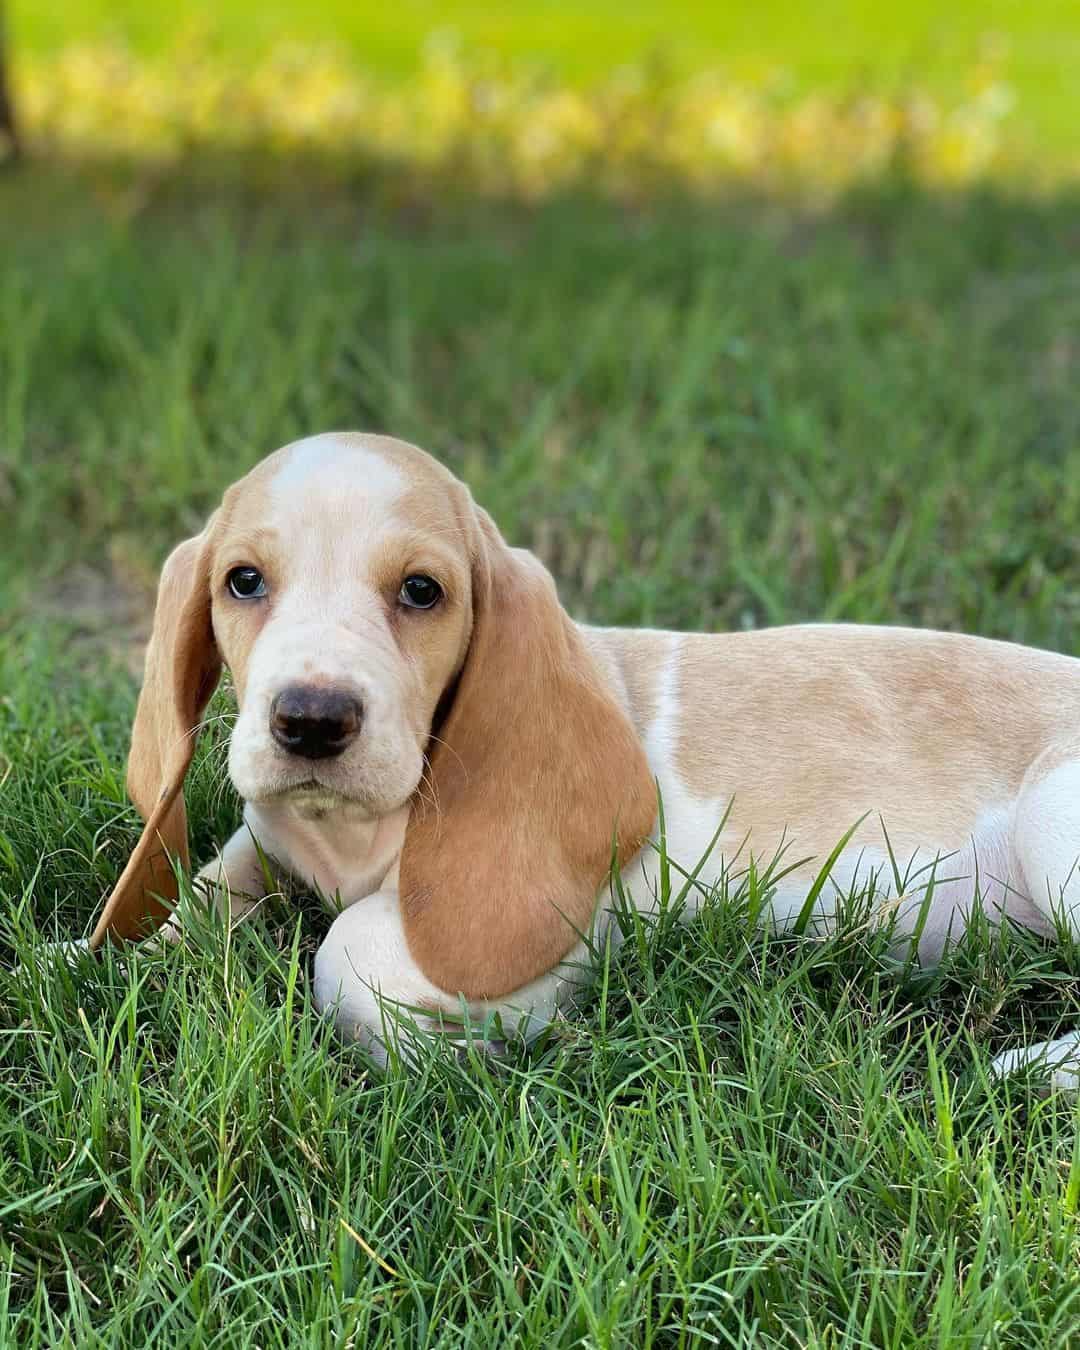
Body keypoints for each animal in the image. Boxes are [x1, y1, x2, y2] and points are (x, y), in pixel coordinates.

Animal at [88, 437, 1080, 1080]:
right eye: (242, 582)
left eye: (423, 591)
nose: (310, 722)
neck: (350, 835)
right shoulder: (263, 838)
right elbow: (190, 900)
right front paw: (84, 959)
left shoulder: (568, 929)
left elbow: (351, 945)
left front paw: (467, 1043)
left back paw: (1036, 1070)